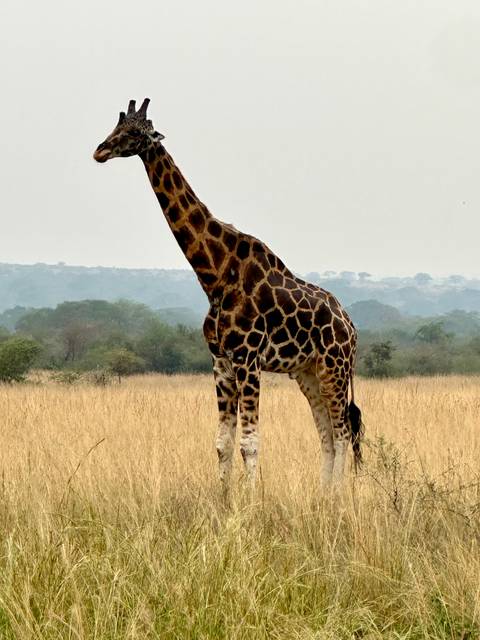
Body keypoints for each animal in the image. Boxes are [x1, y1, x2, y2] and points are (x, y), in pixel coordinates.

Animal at [93, 98, 364, 489]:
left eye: (133, 132)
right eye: (116, 124)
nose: (99, 151)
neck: (215, 276)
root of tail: (352, 327)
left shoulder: (248, 359)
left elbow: (249, 442)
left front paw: (250, 500)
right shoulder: (220, 360)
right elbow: (222, 442)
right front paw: (223, 498)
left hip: (335, 367)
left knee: (343, 432)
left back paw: (338, 497)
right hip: (308, 372)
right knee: (326, 433)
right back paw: (322, 496)